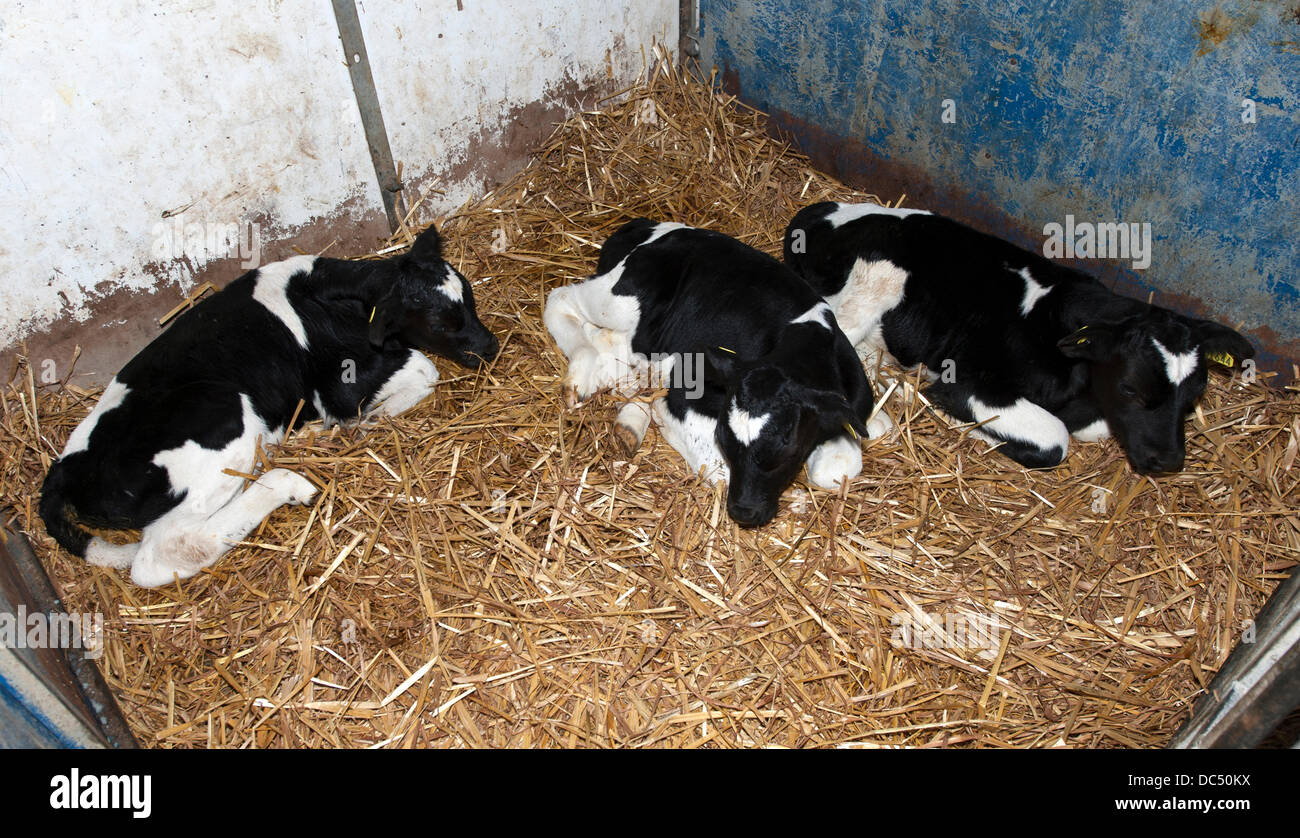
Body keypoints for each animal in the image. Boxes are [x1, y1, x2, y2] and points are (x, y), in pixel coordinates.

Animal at [39, 223, 498, 587]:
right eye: (439, 324)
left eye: (470, 295)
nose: (490, 347)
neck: (321, 296)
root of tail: (66, 469)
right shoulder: (340, 385)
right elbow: (424, 371)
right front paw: (360, 426)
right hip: (221, 415)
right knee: (164, 553)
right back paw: (287, 482)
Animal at [544, 218, 889, 527]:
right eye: (724, 439)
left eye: (787, 451)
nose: (743, 512)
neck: (804, 336)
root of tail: (646, 226)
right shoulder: (686, 391)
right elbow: (718, 469)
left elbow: (838, 468)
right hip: (619, 300)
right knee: (561, 299)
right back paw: (582, 376)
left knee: (614, 344)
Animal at [783, 201, 1255, 473]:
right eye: (1130, 389)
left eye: (1195, 394)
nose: (1169, 461)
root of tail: (813, 213)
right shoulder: (972, 383)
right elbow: (1054, 440)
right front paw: (958, 421)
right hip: (874, 280)